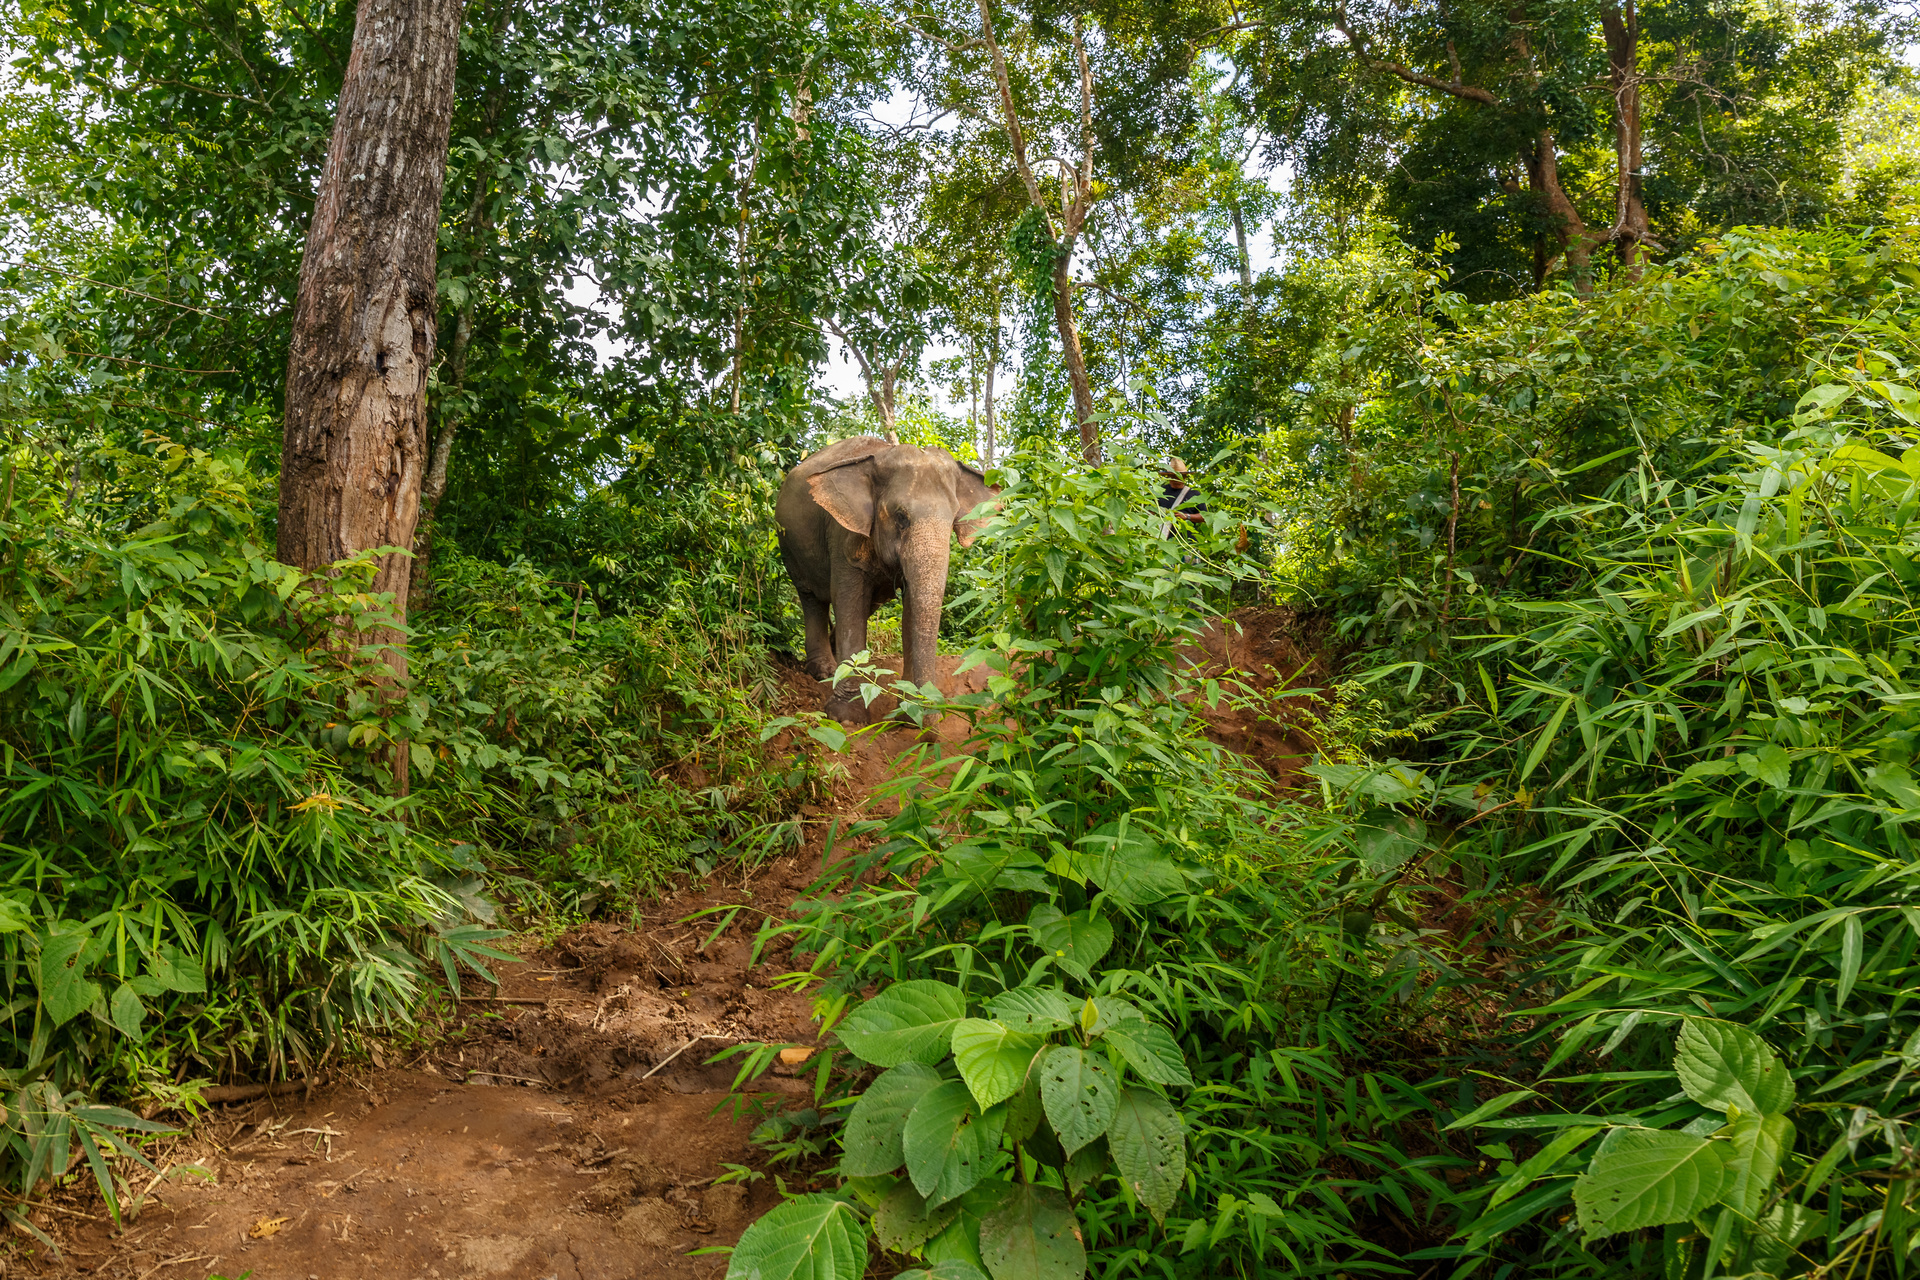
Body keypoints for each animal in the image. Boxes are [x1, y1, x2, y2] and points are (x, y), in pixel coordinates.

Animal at [775, 436, 997, 724]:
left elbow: (911, 608)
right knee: (812, 598)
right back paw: (824, 671)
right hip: (789, 544)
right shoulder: (844, 534)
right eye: (901, 517)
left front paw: (908, 714)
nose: (930, 716)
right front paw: (846, 717)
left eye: (953, 520)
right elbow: (848, 602)